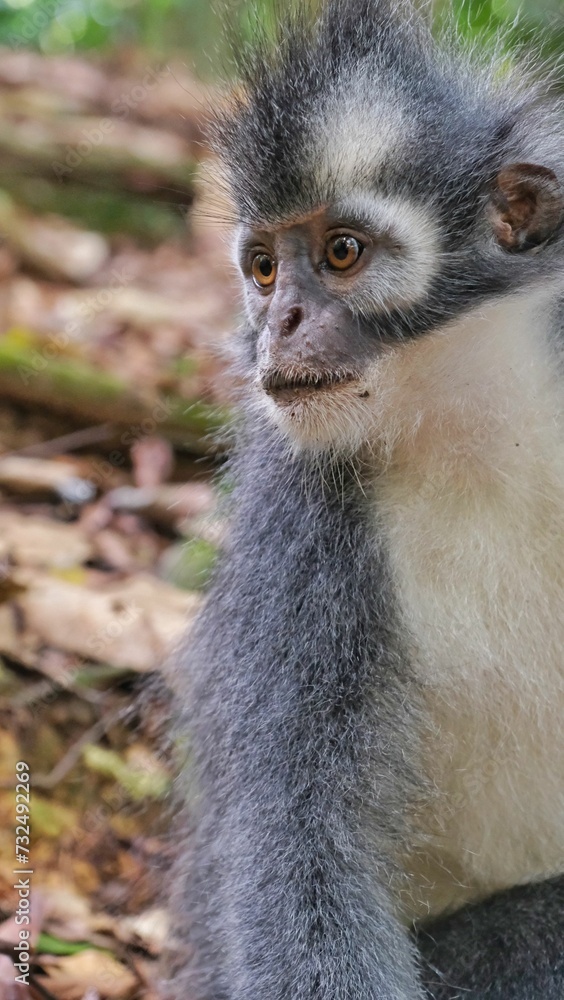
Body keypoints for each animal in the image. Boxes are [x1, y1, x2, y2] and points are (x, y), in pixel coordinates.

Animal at [171, 3, 564, 996]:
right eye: (264, 269)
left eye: (342, 252)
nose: (278, 325)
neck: (485, 430)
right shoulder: (301, 508)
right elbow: (298, 835)